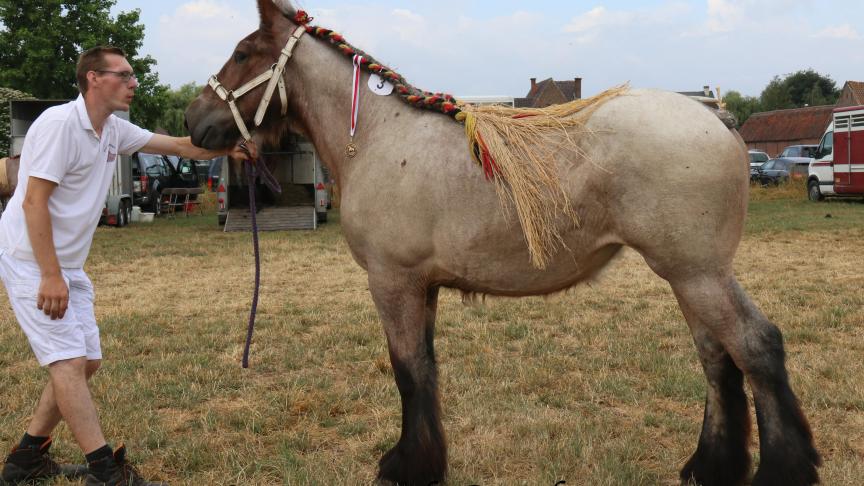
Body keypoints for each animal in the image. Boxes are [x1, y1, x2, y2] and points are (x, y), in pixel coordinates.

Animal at [186, 1, 820, 484]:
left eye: (243, 53)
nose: (194, 121)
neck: (378, 136)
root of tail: (716, 119)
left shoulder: (392, 281)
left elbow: (407, 370)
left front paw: (406, 467)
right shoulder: (423, 287)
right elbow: (426, 370)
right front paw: (427, 461)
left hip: (697, 273)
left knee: (755, 346)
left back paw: (780, 470)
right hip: (692, 275)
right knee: (718, 357)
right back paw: (709, 467)